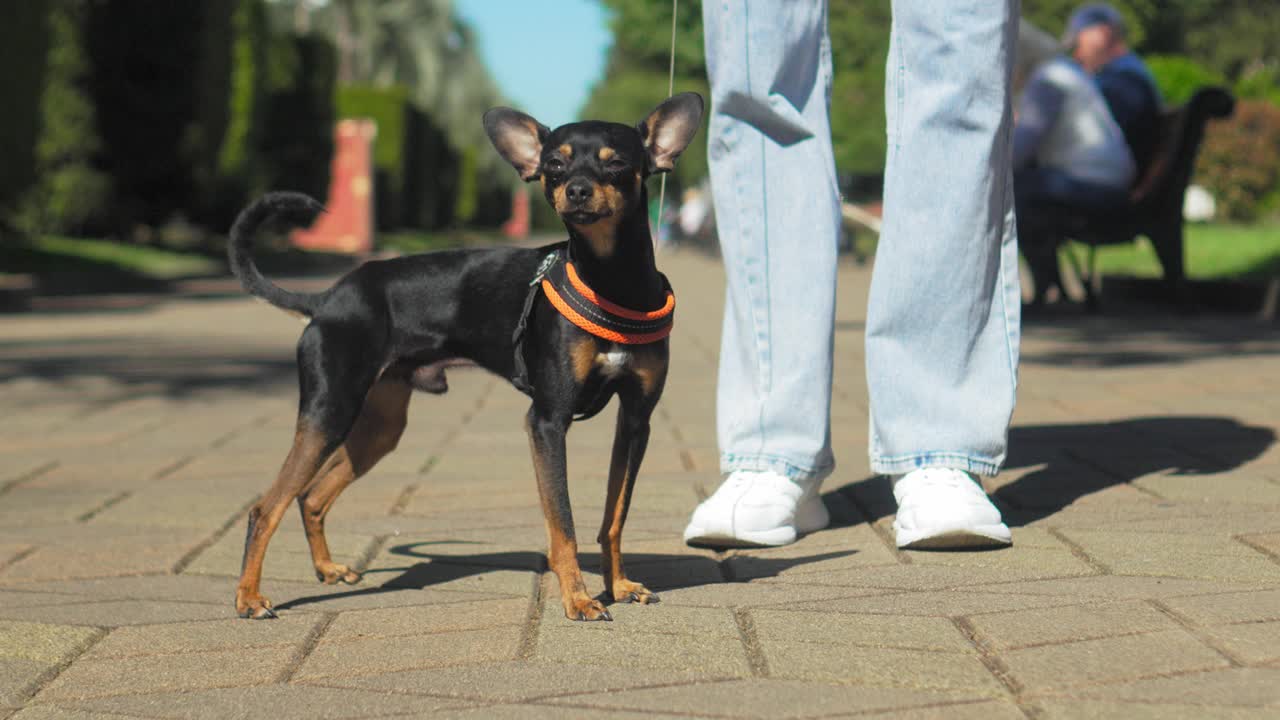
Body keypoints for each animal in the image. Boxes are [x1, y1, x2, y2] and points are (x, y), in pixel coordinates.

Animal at [222, 90, 701, 617]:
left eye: (615, 164)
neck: (610, 278)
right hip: (331, 409)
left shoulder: (635, 420)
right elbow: (564, 524)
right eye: (554, 165)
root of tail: (327, 298)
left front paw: (619, 586)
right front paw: (578, 598)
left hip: (379, 426)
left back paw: (327, 569)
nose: (575, 191)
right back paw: (249, 596)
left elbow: (613, 518)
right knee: (265, 507)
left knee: (310, 496)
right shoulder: (548, 420)